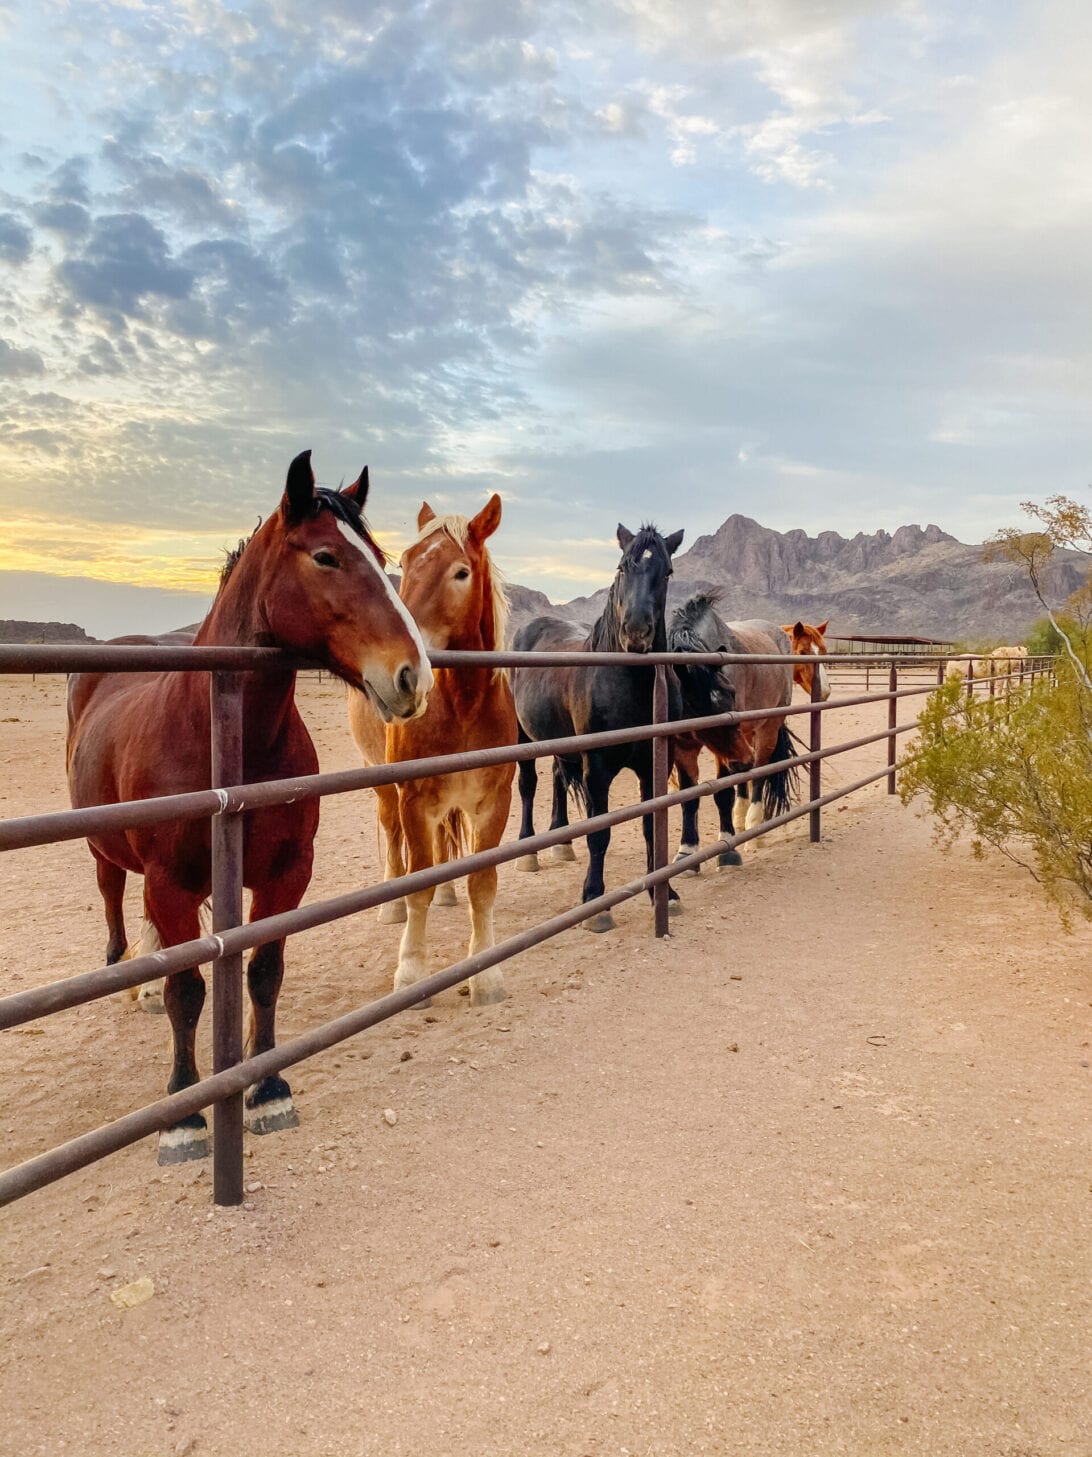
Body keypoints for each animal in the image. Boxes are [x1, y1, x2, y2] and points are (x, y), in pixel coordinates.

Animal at [64, 451, 434, 1159]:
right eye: (325, 556)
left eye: (378, 555)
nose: (414, 676)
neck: (225, 736)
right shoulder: (172, 884)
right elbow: (186, 990)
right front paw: (185, 1115)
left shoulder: (287, 873)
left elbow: (263, 971)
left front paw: (267, 1088)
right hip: (109, 852)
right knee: (115, 898)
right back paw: (133, 974)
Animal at [351, 495, 519, 1008]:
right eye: (404, 564)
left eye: (461, 572)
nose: (404, 664)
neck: (464, 705)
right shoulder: (414, 799)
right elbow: (417, 885)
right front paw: (411, 975)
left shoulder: (494, 802)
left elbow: (482, 883)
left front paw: (486, 975)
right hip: (383, 784)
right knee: (392, 837)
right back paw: (390, 904)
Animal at [510, 524, 682, 932]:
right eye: (622, 567)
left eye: (667, 572)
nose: (636, 633)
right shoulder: (598, 768)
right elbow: (600, 832)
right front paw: (595, 901)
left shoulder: (655, 763)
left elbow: (652, 825)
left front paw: (663, 893)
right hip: (522, 736)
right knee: (528, 784)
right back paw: (529, 850)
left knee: (558, 776)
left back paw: (561, 840)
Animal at [664, 588, 793, 868]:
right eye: (692, 705)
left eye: (731, 694)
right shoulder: (683, 745)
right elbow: (689, 797)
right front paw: (686, 852)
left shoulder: (726, 750)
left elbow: (723, 792)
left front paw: (727, 849)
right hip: (747, 737)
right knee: (745, 776)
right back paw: (740, 821)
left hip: (767, 730)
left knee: (758, 773)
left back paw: (754, 829)